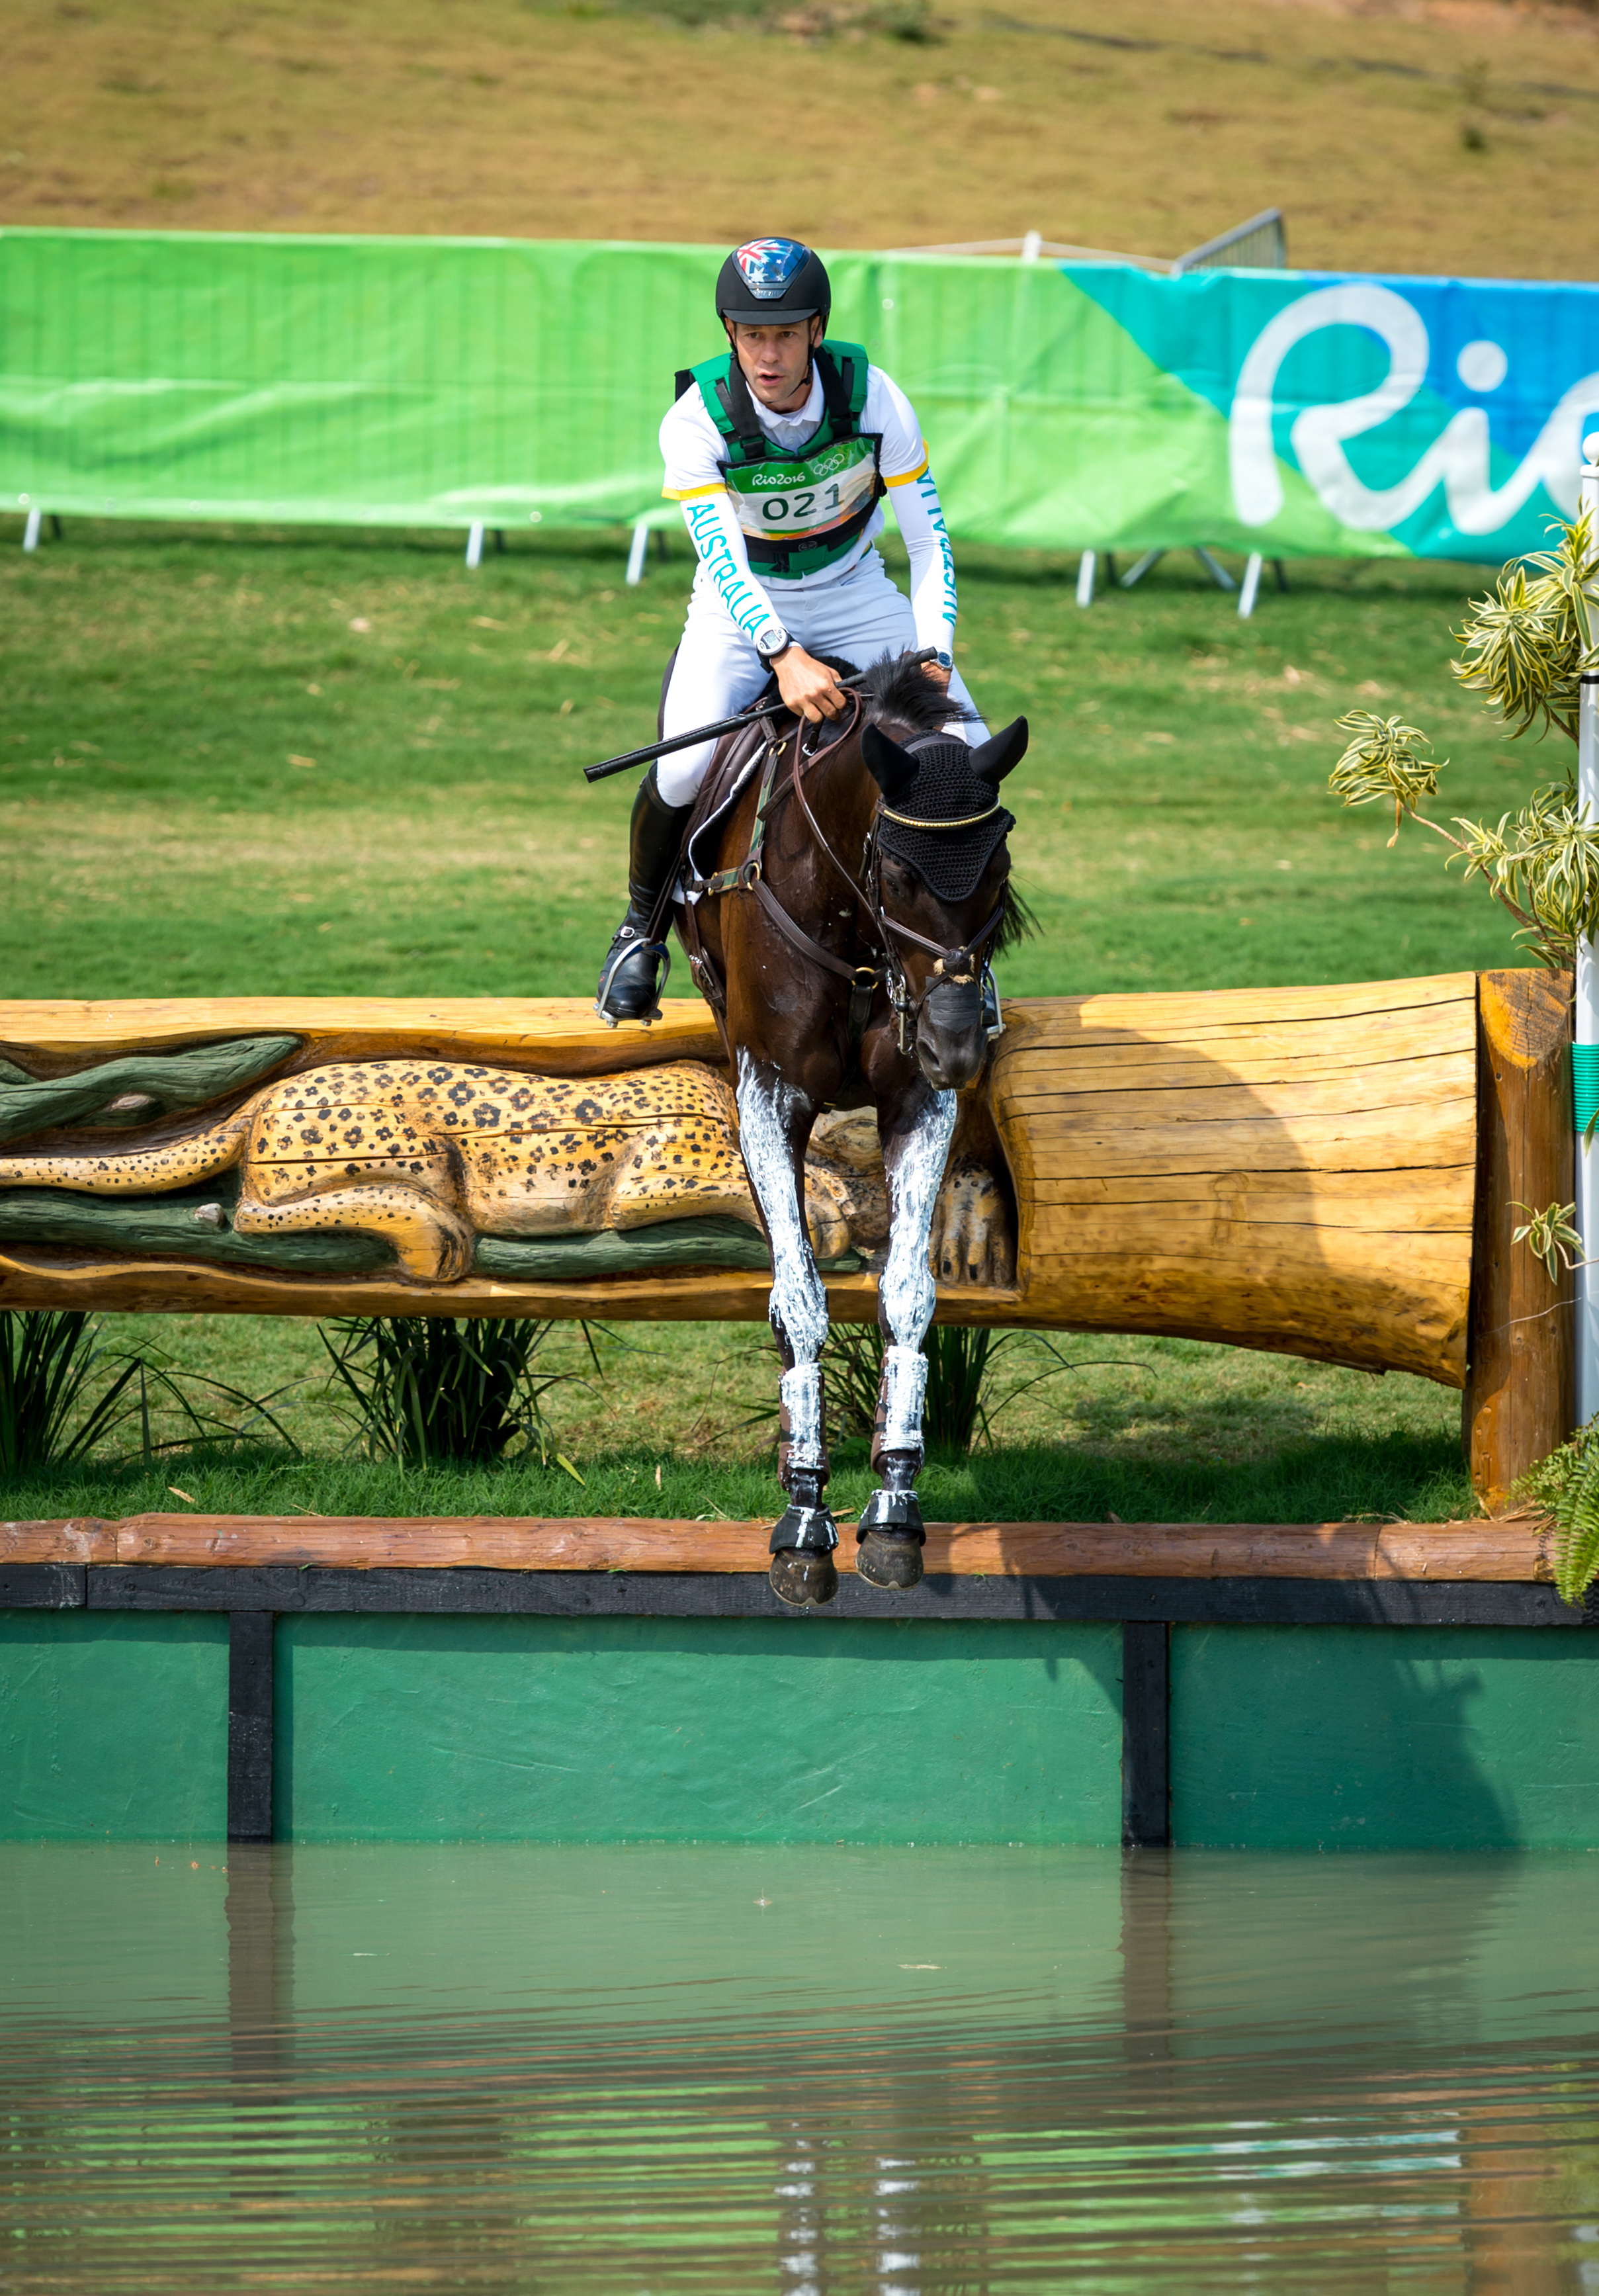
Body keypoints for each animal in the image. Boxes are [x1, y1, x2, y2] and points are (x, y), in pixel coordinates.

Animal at [674, 652, 1028, 1608]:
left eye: (998, 870)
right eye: (899, 875)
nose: (954, 1046)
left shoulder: (917, 1102)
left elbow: (906, 1296)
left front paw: (894, 1510)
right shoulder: (768, 1094)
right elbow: (798, 1302)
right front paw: (802, 1520)